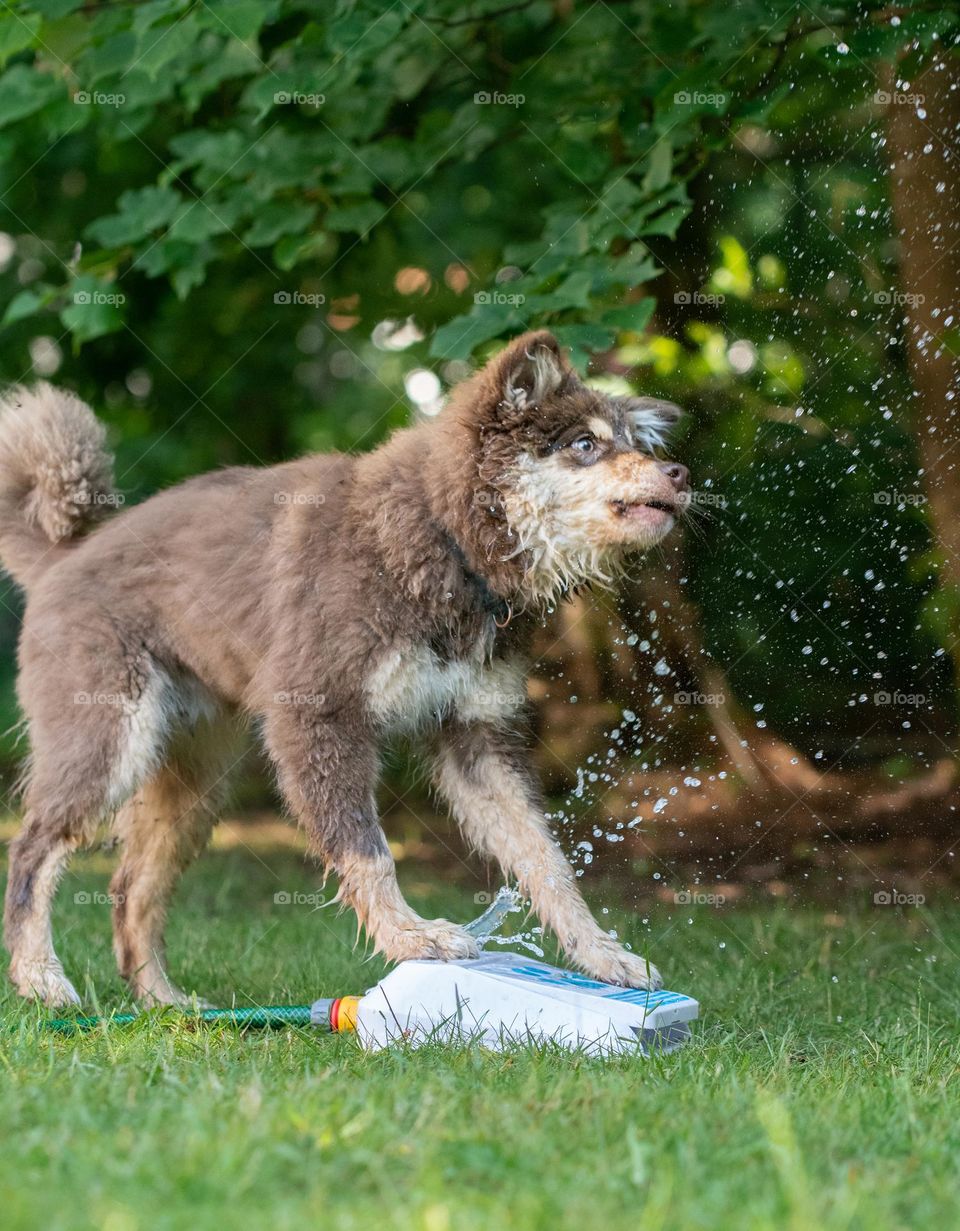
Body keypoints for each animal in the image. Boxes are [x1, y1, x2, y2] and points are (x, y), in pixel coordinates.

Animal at [1, 329, 689, 1009]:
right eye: (584, 444)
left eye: (634, 443)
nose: (680, 472)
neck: (445, 538)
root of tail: (63, 557)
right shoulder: (320, 718)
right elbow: (369, 852)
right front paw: (413, 937)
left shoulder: (477, 735)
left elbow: (548, 862)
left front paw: (603, 957)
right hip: (109, 742)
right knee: (32, 850)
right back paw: (41, 978)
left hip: (194, 783)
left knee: (129, 887)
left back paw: (164, 1002)